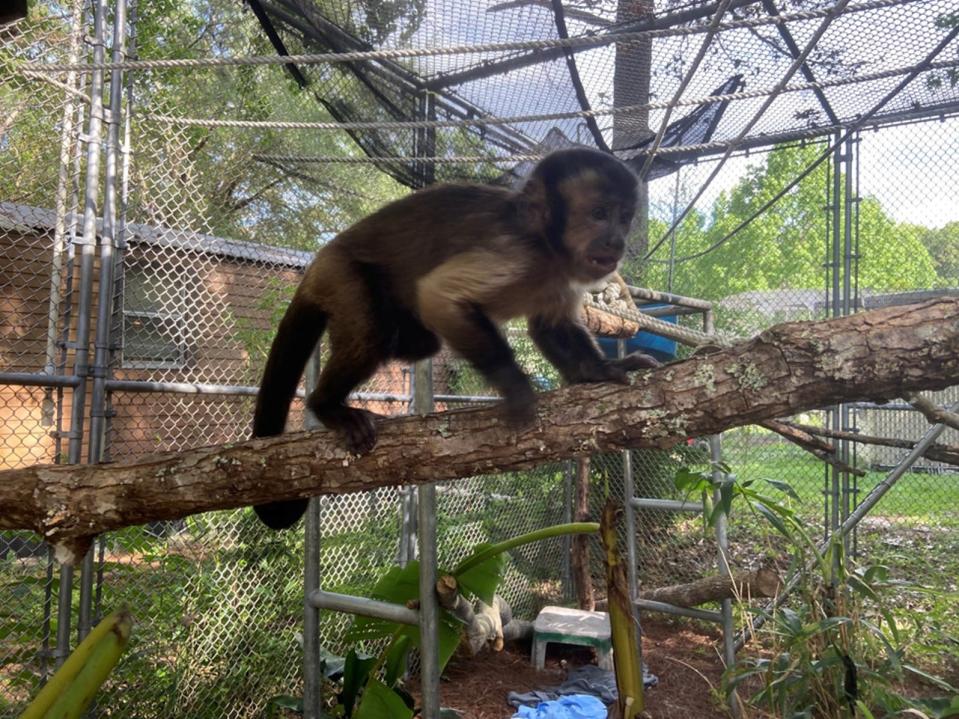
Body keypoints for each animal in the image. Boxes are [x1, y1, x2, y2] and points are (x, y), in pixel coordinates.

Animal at [251, 146, 664, 528]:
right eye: (599, 214)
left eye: (624, 218)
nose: (616, 241)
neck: (546, 248)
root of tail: (315, 266)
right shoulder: (514, 251)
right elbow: (441, 298)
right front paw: (515, 385)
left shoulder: (561, 276)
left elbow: (551, 327)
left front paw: (599, 370)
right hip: (340, 274)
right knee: (370, 334)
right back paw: (327, 406)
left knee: (419, 340)